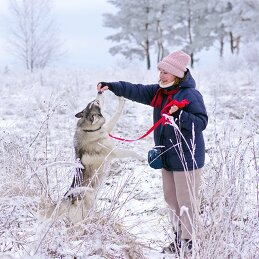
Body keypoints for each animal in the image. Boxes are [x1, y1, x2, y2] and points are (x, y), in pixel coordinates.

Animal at [39, 93, 143, 223]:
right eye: (96, 103)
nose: (100, 92)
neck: (89, 130)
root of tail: (67, 199)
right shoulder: (113, 152)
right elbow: (130, 152)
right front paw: (142, 157)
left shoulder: (107, 128)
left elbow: (117, 114)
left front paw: (121, 101)